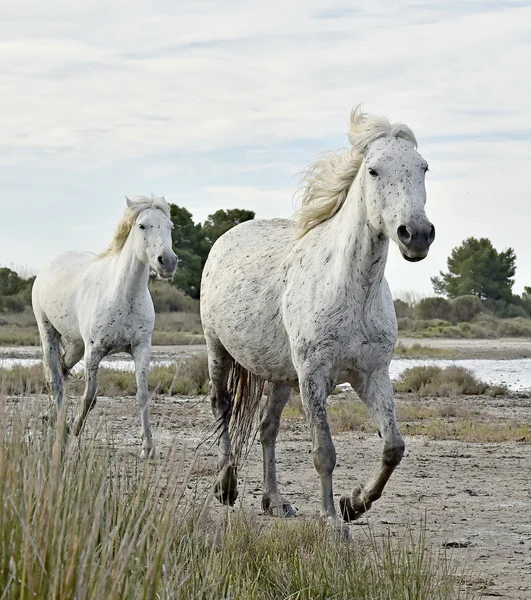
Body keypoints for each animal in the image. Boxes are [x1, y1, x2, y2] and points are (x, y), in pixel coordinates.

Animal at [32, 195, 178, 458]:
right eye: (142, 226)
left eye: (169, 226)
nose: (168, 262)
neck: (123, 295)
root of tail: (51, 262)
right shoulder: (94, 351)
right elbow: (89, 396)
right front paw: (73, 436)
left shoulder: (142, 348)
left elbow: (142, 395)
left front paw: (148, 448)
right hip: (48, 333)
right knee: (55, 379)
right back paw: (61, 430)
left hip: (76, 345)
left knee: (62, 371)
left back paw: (52, 420)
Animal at [200, 110, 436, 524]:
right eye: (373, 170)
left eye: (422, 167)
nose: (417, 234)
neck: (351, 291)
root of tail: (225, 238)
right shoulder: (313, 376)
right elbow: (324, 452)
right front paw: (331, 520)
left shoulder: (371, 374)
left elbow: (393, 446)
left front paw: (353, 504)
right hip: (219, 350)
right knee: (222, 407)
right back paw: (226, 485)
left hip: (279, 374)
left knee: (267, 428)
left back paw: (275, 500)